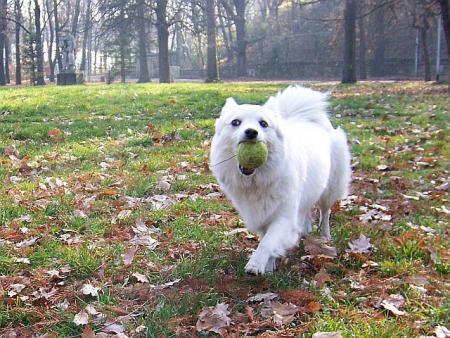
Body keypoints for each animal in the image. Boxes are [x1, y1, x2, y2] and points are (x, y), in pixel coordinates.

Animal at [209, 85, 354, 274]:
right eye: (236, 122)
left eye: (263, 124)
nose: (251, 132)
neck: (257, 181)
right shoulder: (262, 215)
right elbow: (266, 239)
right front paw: (269, 267)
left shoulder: (284, 217)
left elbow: (268, 241)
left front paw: (256, 264)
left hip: (330, 190)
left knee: (325, 211)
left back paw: (325, 236)